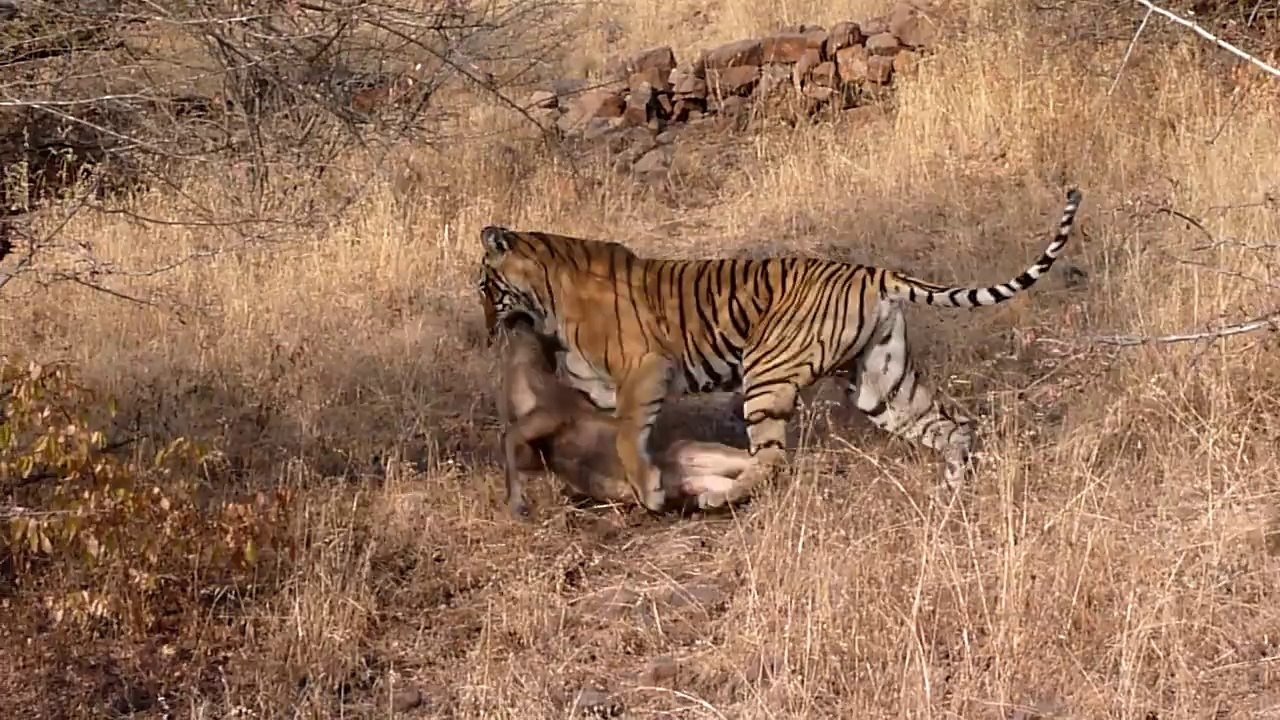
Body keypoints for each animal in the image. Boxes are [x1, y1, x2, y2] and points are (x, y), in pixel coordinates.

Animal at [476, 188, 1084, 511]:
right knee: (953, 427)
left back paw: (718, 495)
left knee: (772, 460)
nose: (487, 331)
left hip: (765, 372)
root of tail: (875, 273)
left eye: (484, 288)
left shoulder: (644, 371)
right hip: (881, 383)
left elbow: (628, 435)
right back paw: (953, 493)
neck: (547, 294)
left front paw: (647, 488)